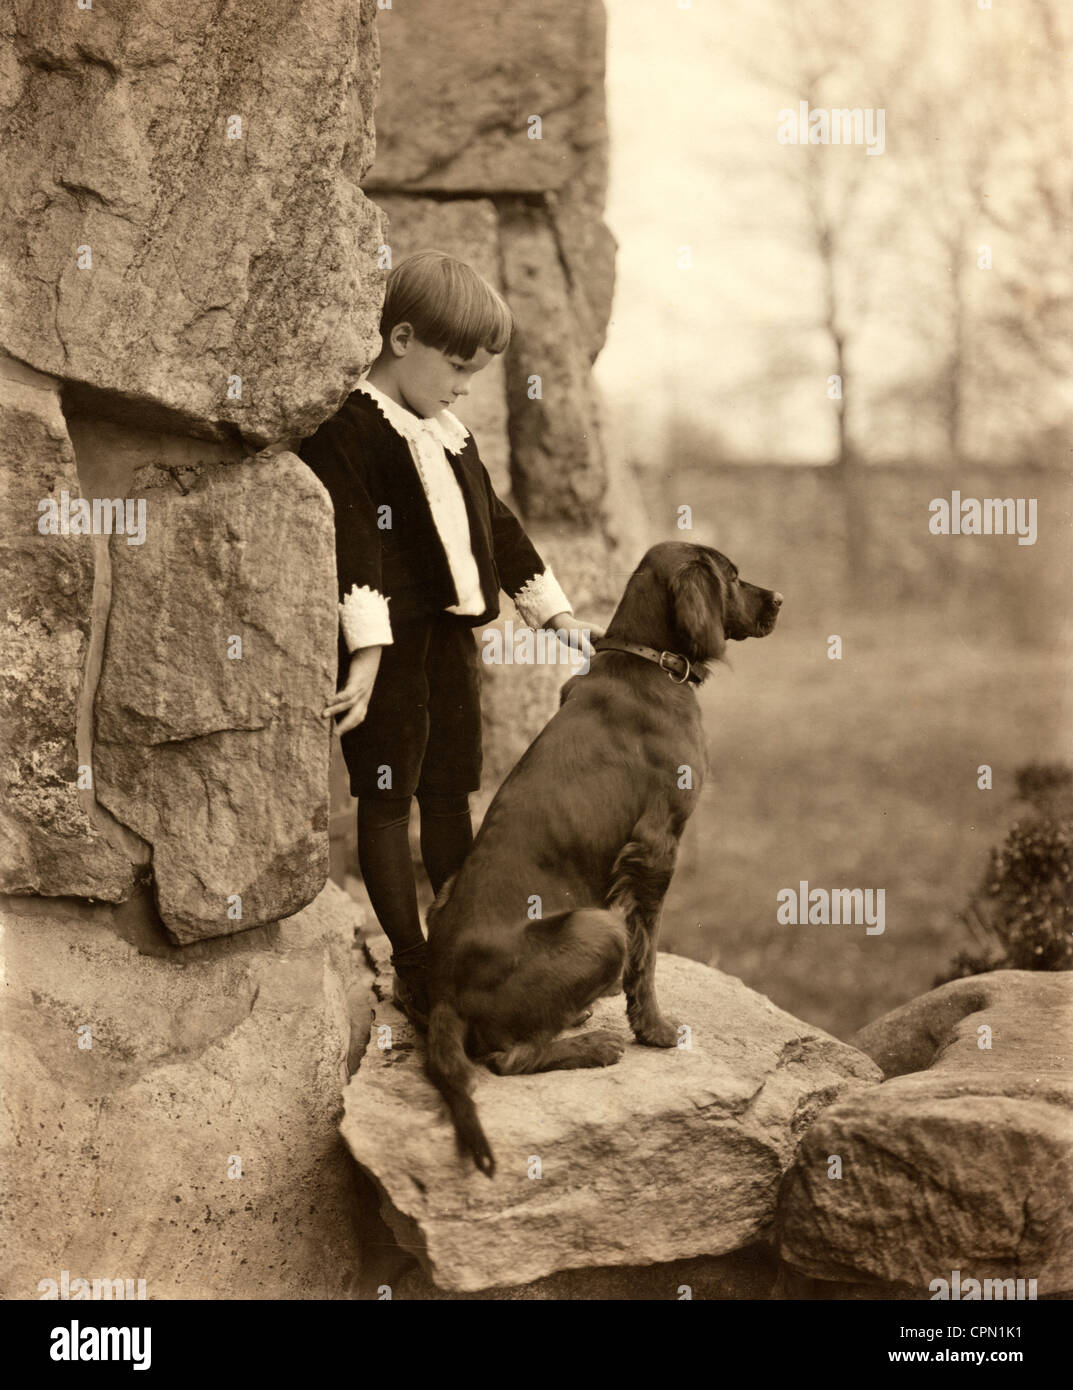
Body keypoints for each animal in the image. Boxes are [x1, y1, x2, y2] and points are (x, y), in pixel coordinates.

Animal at [422, 542, 783, 1173]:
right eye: (735, 577)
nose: (780, 600)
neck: (649, 661)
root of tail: (443, 990)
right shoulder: (657, 845)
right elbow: (647, 953)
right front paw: (655, 1030)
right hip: (596, 927)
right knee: (505, 1059)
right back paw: (593, 1043)